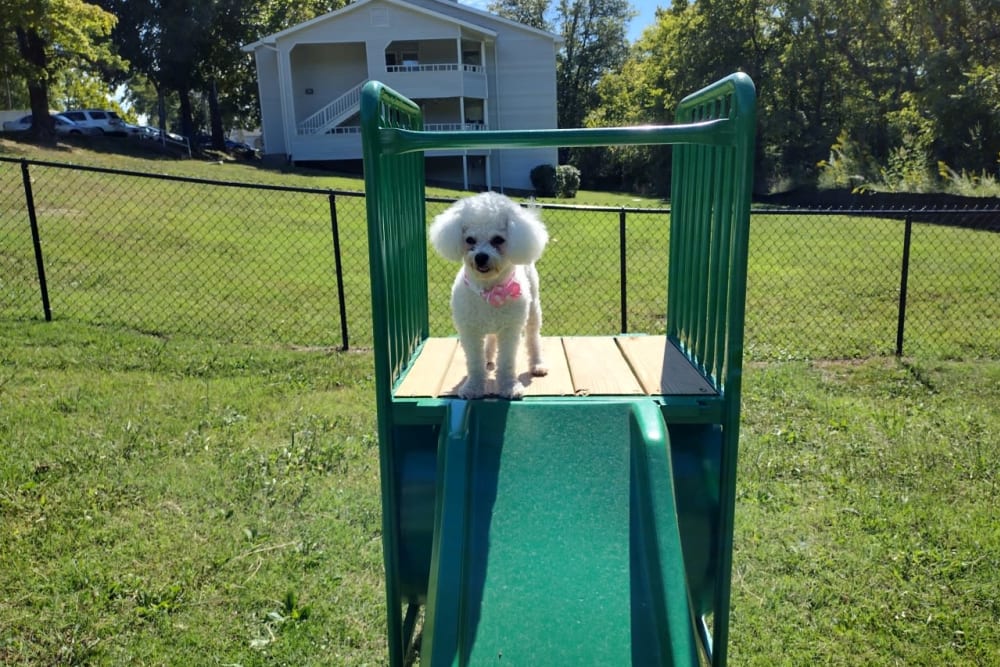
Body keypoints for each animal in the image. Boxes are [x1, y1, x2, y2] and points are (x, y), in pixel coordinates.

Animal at [428, 193, 552, 402]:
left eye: (498, 240)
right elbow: (474, 363)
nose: (481, 257)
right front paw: (473, 387)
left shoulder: (510, 330)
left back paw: (537, 364)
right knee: (491, 339)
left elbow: (507, 361)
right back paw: (488, 357)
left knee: (533, 336)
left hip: (533, 308)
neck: (490, 291)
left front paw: (509, 387)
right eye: (470, 239)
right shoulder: (469, 330)